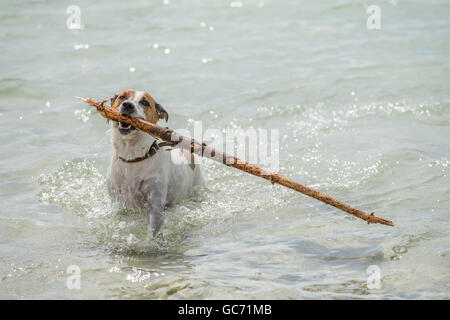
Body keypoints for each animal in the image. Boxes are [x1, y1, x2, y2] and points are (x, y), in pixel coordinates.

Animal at [105, 89, 204, 236]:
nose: (128, 105)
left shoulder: (155, 204)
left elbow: (154, 228)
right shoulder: (118, 203)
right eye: (122, 97)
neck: (133, 157)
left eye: (145, 102)